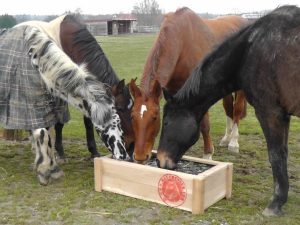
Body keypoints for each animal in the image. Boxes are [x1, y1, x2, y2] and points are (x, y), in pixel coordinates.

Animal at [129, 7, 248, 163]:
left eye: (155, 117)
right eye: (132, 117)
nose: (140, 157)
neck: (182, 43)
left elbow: (204, 124)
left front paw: (208, 154)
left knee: (237, 109)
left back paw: (233, 142)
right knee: (229, 108)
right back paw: (226, 138)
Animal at [157, 5, 300, 216]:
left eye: (166, 122)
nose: (160, 160)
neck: (249, 51)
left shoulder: (270, 113)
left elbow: (276, 155)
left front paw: (275, 203)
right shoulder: (283, 114)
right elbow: (283, 153)